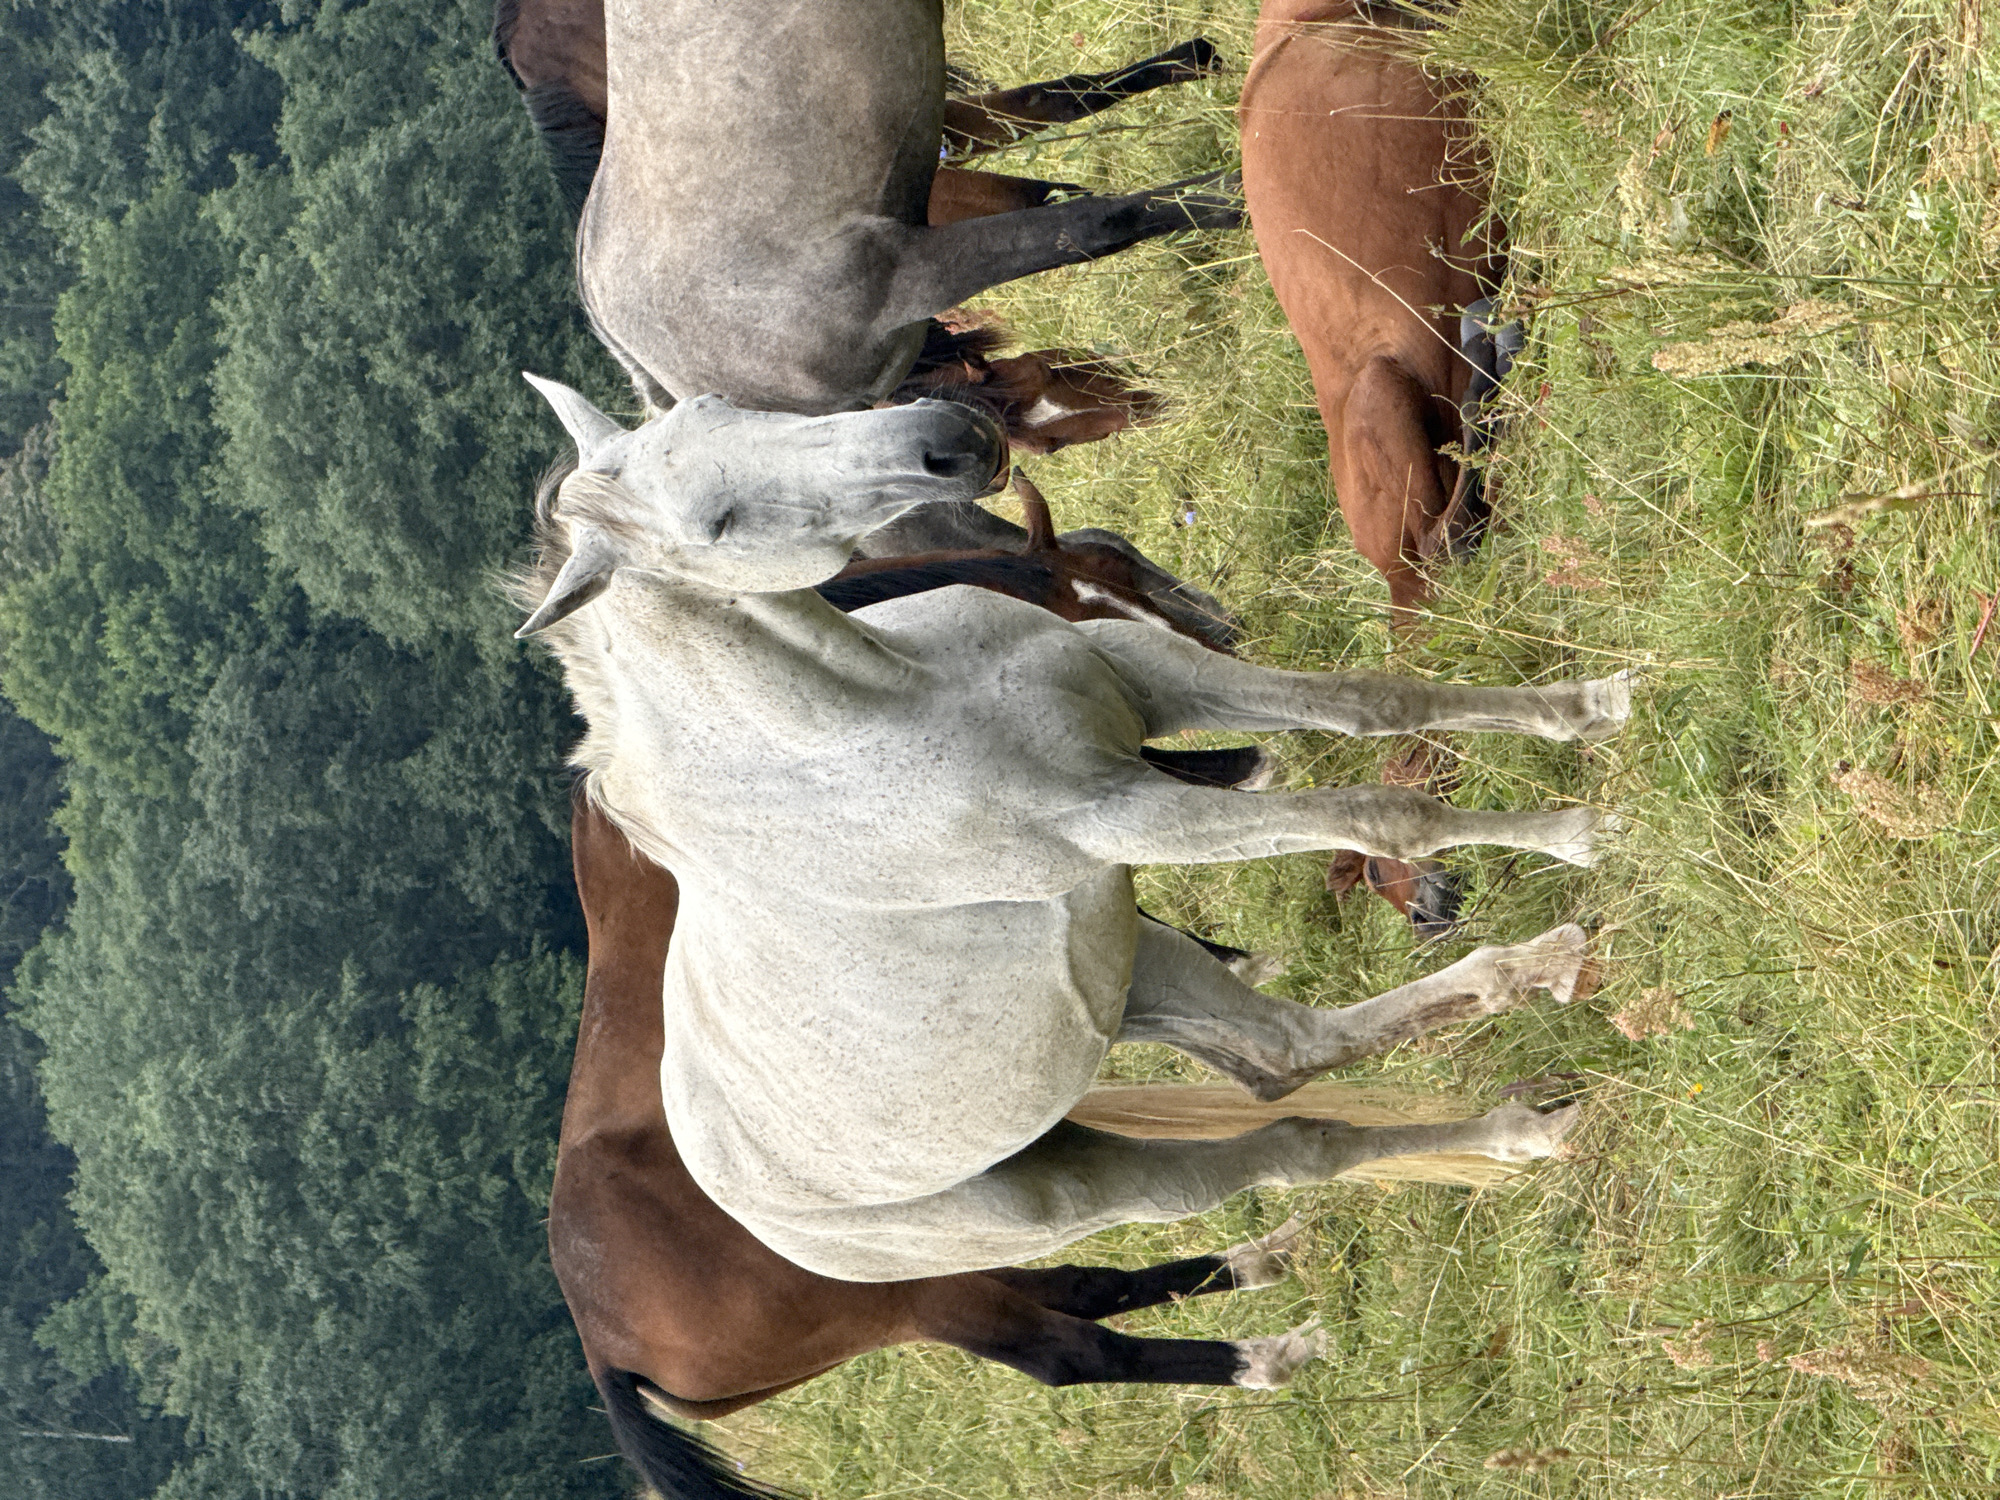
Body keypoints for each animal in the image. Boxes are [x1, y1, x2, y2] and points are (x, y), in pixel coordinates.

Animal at [511, 378, 1628, 1284]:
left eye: (717, 408)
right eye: (718, 521)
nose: (948, 440)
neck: (878, 708)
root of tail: (740, 1201)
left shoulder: (1149, 683)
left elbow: (1374, 702)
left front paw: (1589, 709)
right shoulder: (1127, 815)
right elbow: (1385, 815)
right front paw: (1586, 828)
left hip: (1123, 967)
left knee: (1286, 1052)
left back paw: (1535, 1053)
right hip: (1073, 1188)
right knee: (1279, 1149)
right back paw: (1527, 1092)